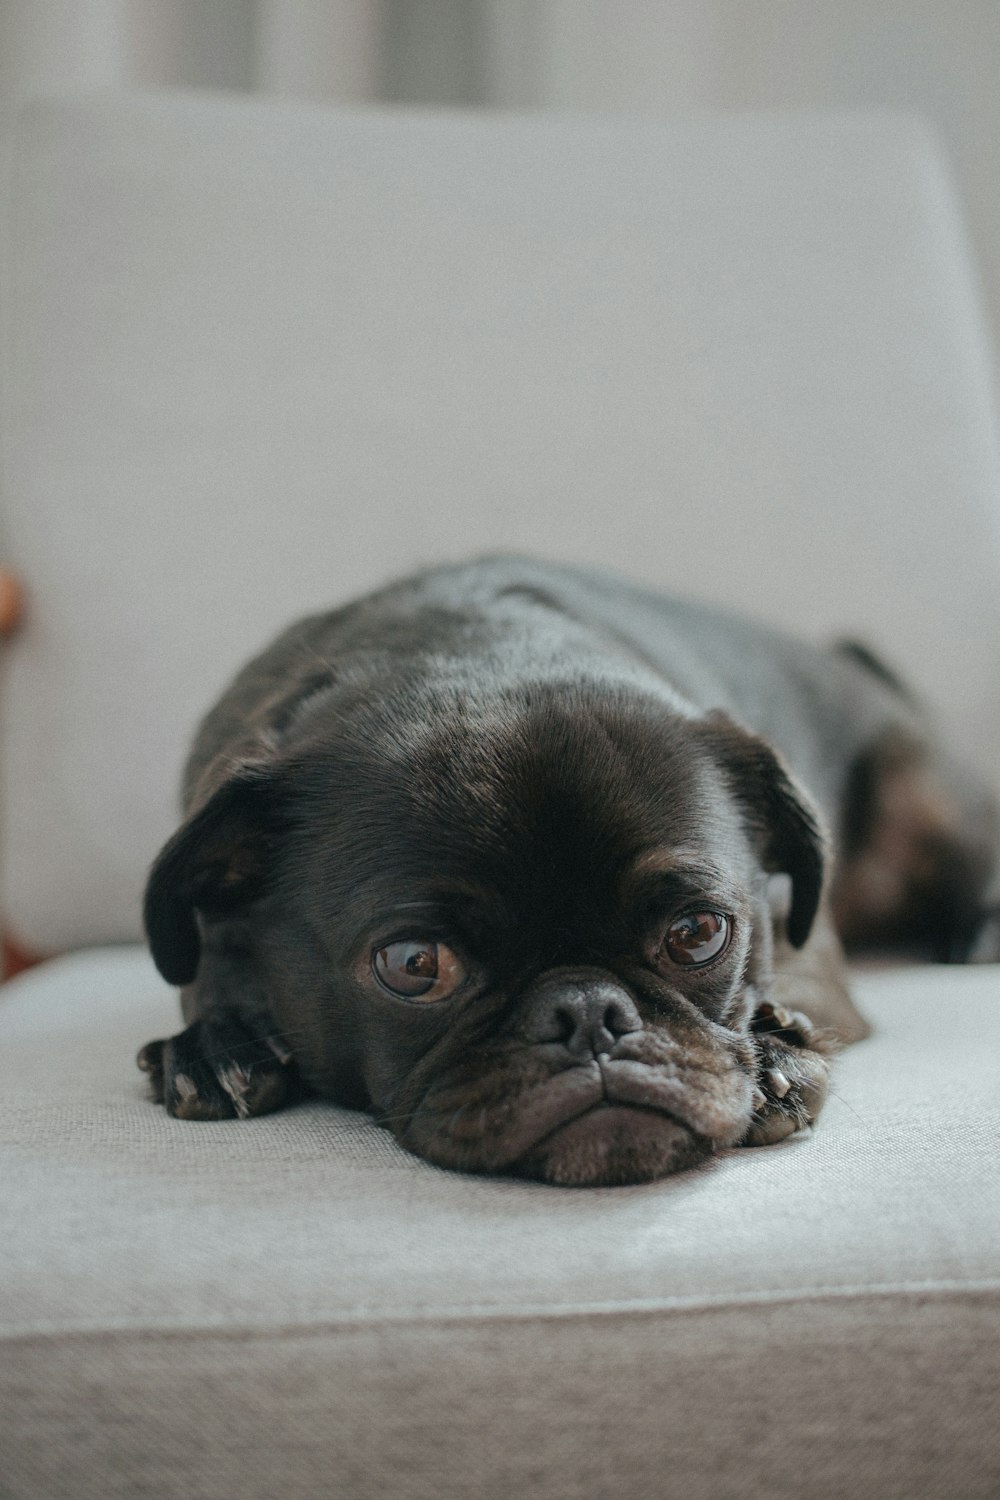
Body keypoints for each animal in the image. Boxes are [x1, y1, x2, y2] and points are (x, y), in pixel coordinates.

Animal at [134, 558, 1000, 1188]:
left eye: (697, 933)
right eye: (413, 965)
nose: (588, 1012)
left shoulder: (802, 936)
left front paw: (776, 1051)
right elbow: (207, 974)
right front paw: (215, 1041)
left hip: (921, 789)